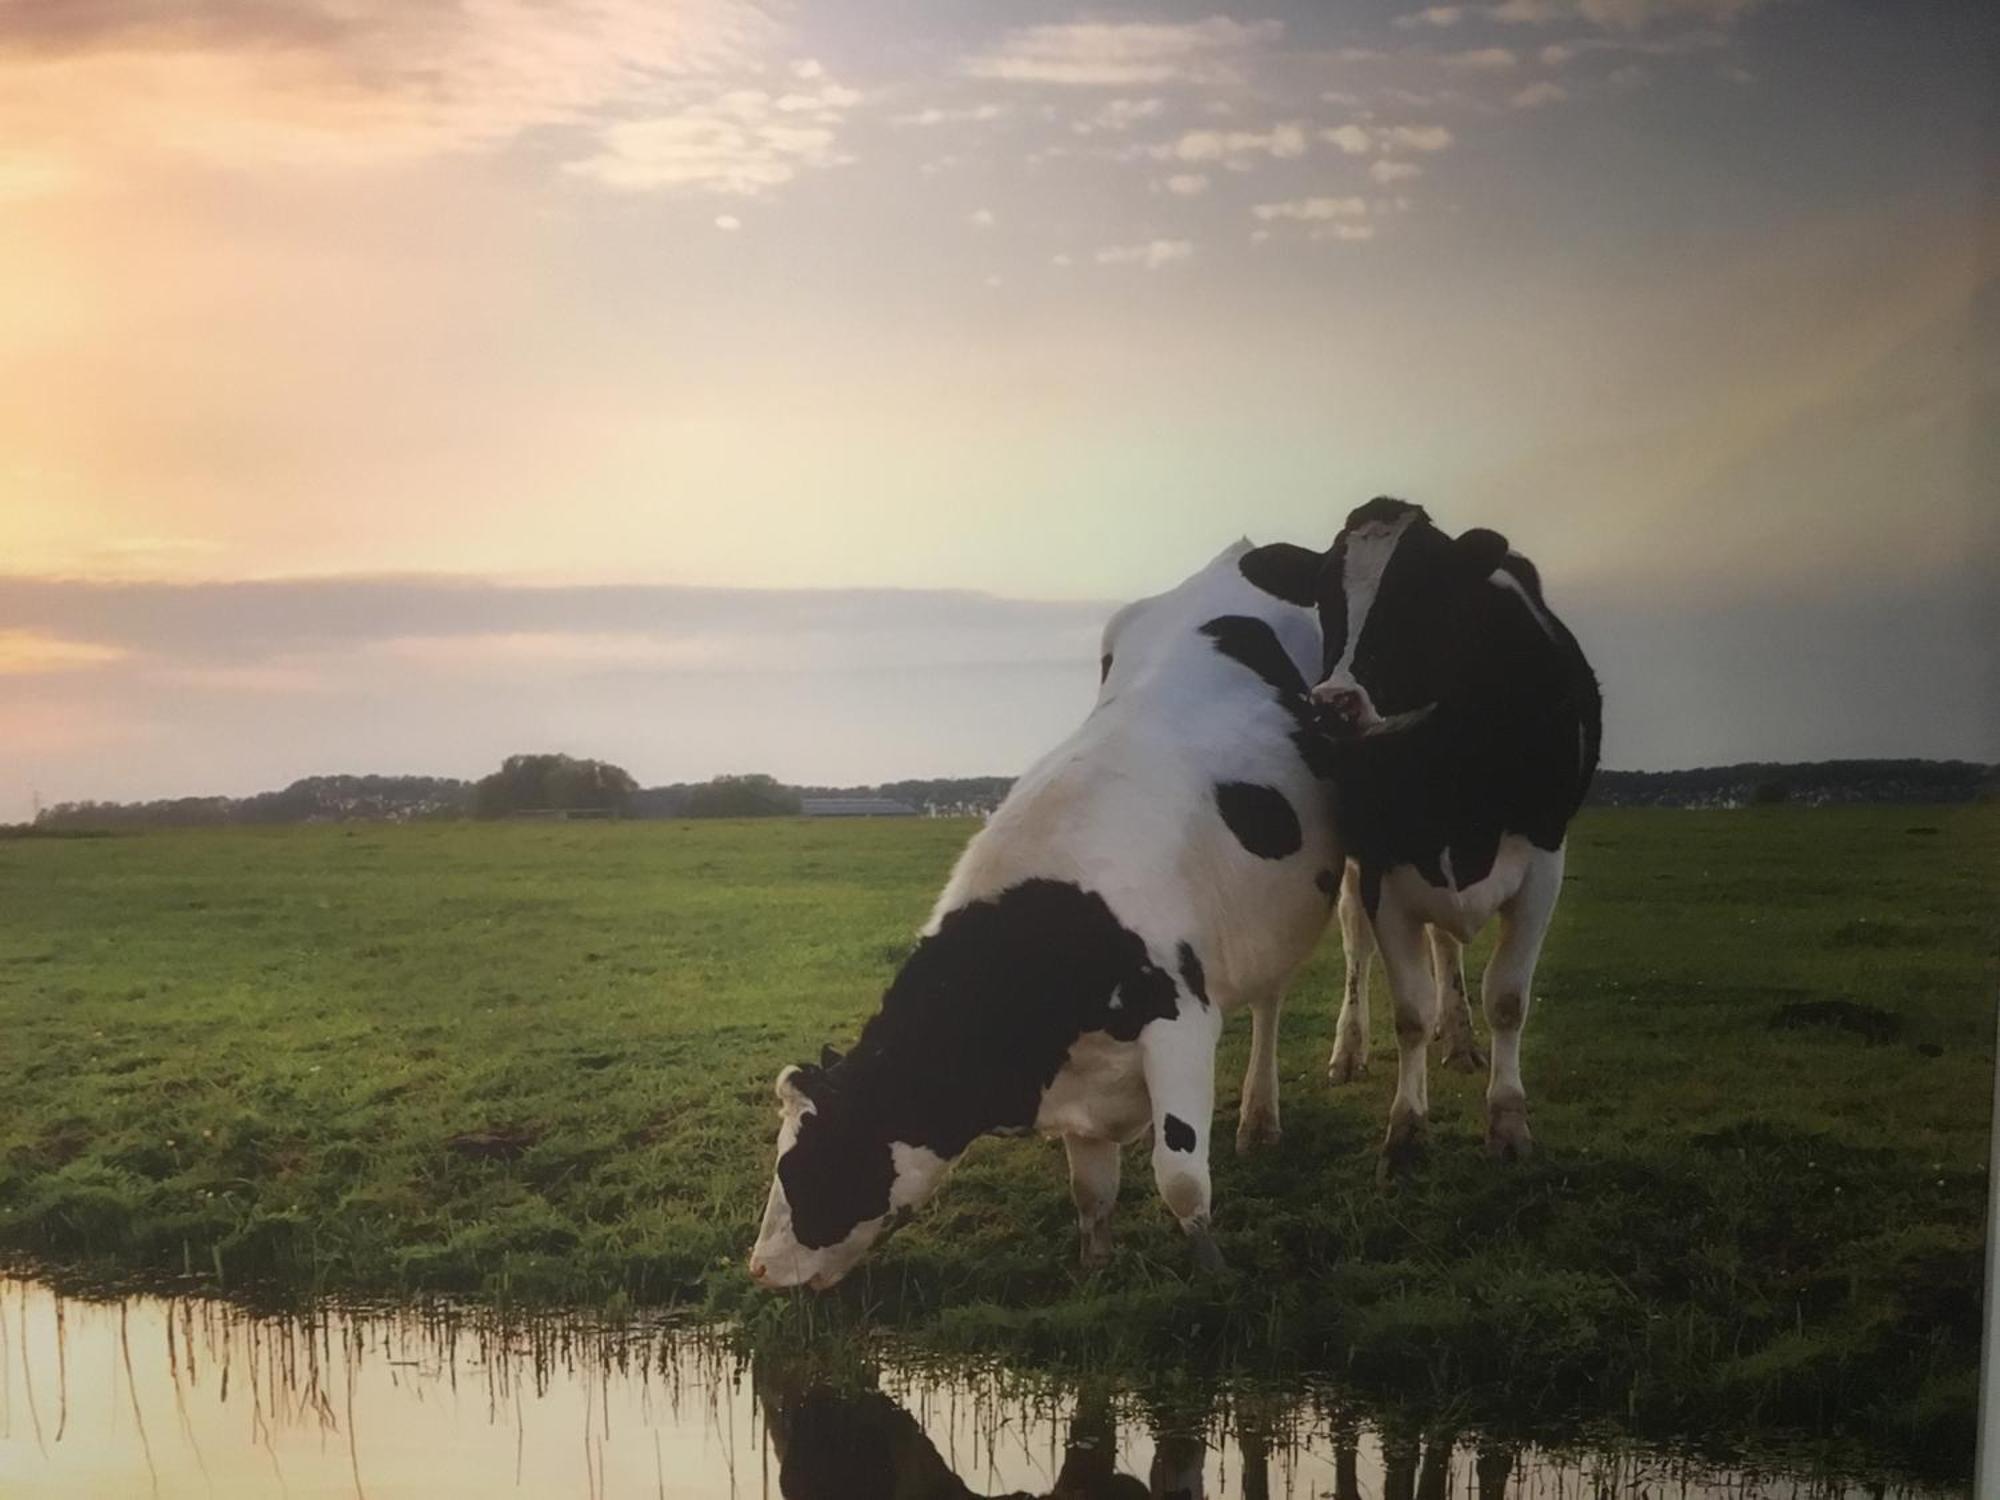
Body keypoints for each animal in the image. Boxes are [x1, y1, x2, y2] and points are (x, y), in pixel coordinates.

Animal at [752, 540, 1344, 1296]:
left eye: (804, 1165)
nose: (760, 1267)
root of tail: (1245, 551)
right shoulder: (1082, 1086)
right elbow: (1091, 1191)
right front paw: (1095, 1267)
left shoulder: (1179, 1023)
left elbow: (1179, 1176)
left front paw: (1214, 1273)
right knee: (1270, 989)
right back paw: (1261, 1120)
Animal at [1304, 500, 1600, 1184]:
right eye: (1324, 597)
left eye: (1421, 591)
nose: (1332, 705)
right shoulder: (1381, 863)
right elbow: (1408, 1011)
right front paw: (1406, 1131)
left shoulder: (1544, 860)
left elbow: (1508, 999)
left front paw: (1509, 1124)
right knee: (1357, 950)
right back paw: (1349, 1051)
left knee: (1448, 946)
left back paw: (1462, 1040)